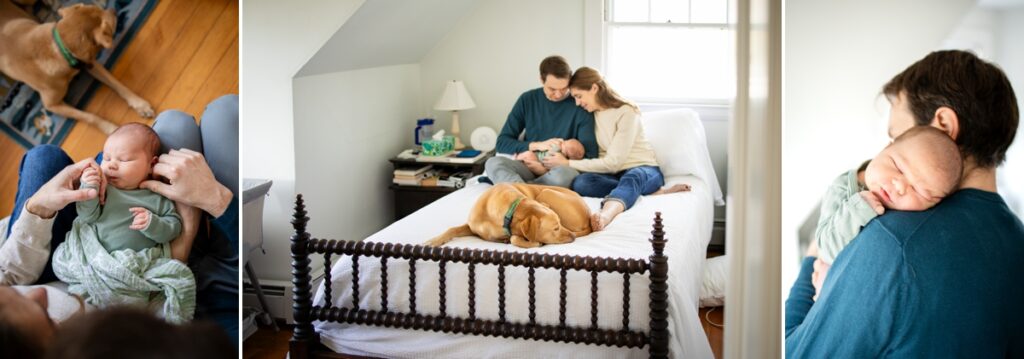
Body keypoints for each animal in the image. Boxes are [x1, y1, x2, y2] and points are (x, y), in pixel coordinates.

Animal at [423, 184, 593, 248]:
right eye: (556, 228)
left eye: (560, 224)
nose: (573, 237)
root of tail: (589, 216)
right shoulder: (472, 227)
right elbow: (452, 229)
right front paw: (434, 240)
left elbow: (514, 239)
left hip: (546, 192)